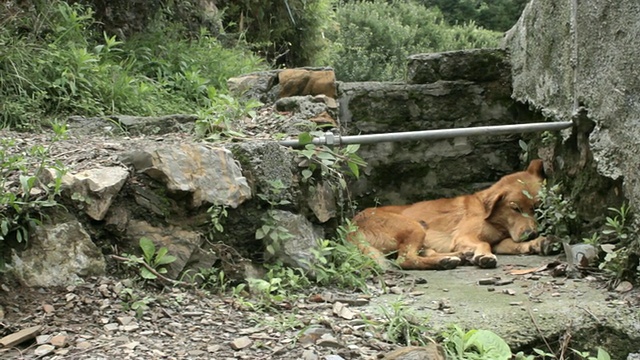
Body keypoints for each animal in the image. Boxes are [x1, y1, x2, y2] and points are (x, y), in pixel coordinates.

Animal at [350, 159, 552, 268]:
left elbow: (511, 244)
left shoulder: (500, 241)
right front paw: (484, 256)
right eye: (515, 208)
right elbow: (484, 243)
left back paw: (458, 256)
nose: (532, 233)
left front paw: (536, 243)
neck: (491, 217)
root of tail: (352, 225)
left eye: (538, 208)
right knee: (405, 260)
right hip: (415, 227)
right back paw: (445, 261)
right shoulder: (464, 236)